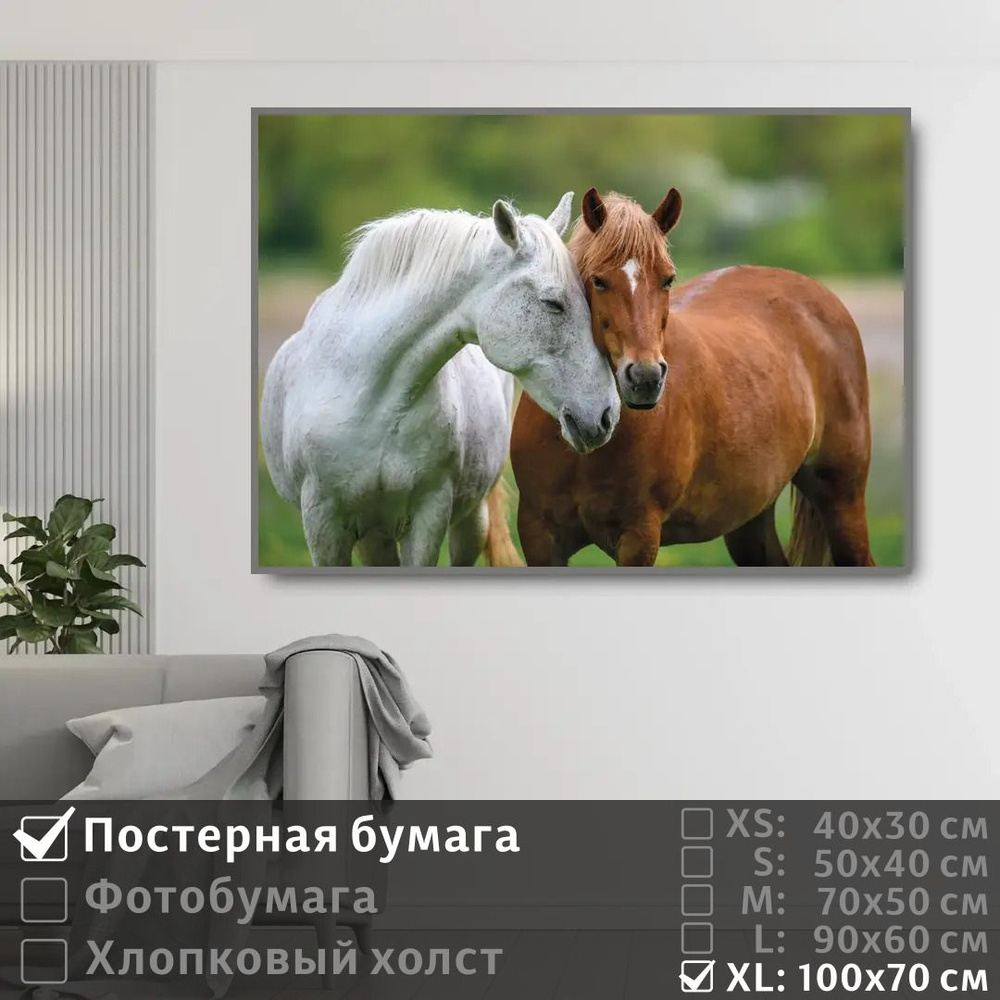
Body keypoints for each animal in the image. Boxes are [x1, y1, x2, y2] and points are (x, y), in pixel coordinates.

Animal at [261, 193, 620, 567]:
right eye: (553, 303)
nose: (607, 415)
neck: (367, 396)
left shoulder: (428, 516)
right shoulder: (324, 525)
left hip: (468, 522)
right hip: (375, 535)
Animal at [510, 188, 875, 567]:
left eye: (667, 279)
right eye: (598, 280)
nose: (645, 378)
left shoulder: (638, 537)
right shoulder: (539, 536)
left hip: (842, 498)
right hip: (750, 520)